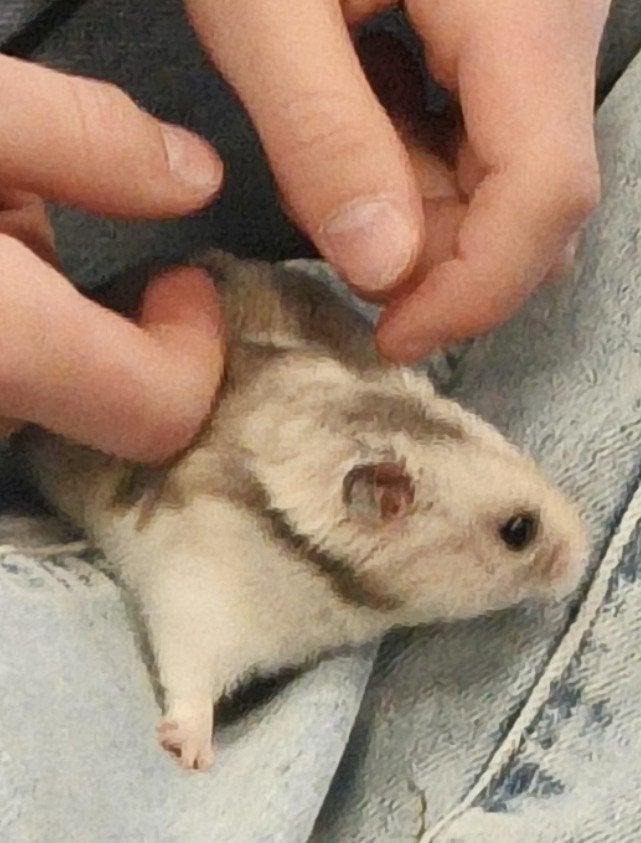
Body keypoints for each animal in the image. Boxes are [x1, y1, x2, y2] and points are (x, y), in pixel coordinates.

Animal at [14, 250, 589, 771]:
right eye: (518, 530)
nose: (584, 558)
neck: (325, 576)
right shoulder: (195, 598)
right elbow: (189, 678)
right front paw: (193, 757)